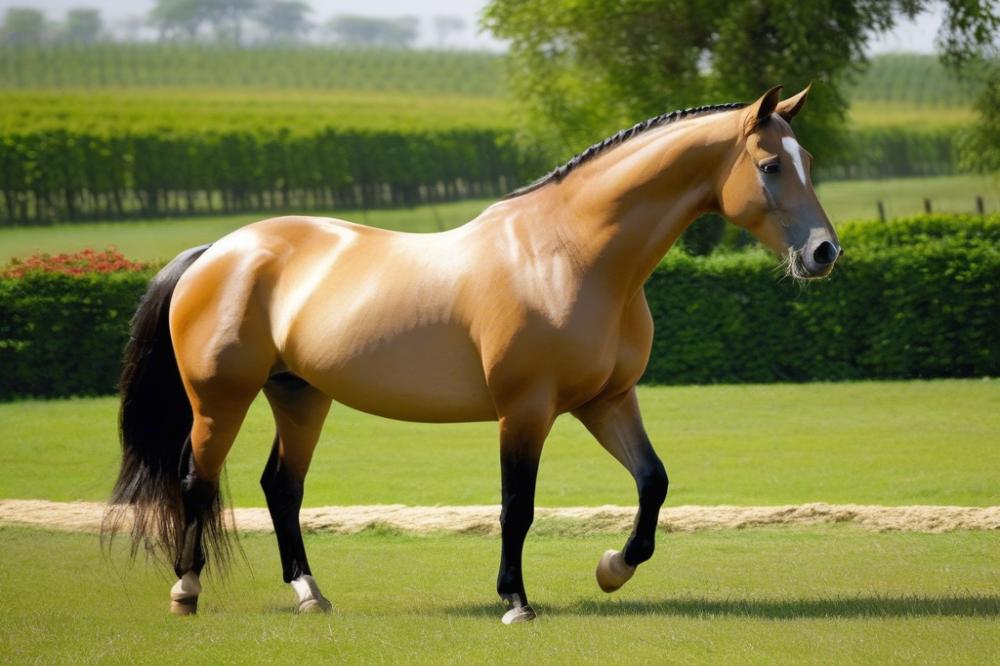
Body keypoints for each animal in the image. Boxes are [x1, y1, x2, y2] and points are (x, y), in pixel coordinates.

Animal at [107, 84, 844, 624]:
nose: (824, 253)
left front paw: (612, 568)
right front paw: (516, 601)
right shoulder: (524, 411)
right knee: (197, 482)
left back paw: (311, 595)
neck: (569, 254)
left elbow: (652, 482)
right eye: (770, 166)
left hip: (299, 394)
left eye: (808, 162)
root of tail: (222, 249)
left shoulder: (606, 402)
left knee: (281, 489)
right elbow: (517, 505)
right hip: (221, 399)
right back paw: (186, 593)